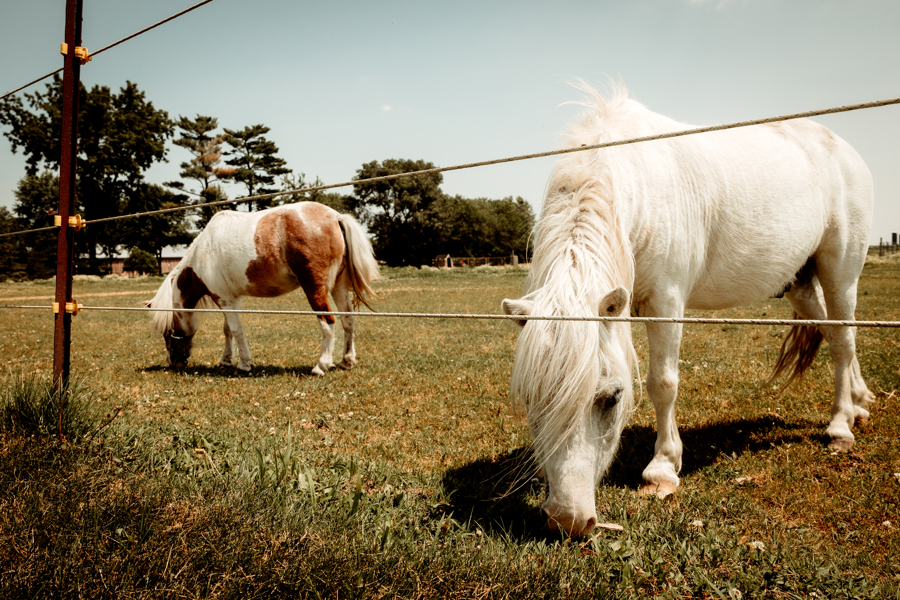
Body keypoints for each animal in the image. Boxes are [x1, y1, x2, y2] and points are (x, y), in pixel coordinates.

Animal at [146, 204, 378, 378]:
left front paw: (244, 364)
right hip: (339, 286)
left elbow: (237, 330)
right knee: (348, 319)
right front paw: (226, 360)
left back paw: (321, 366)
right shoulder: (230, 300)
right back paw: (347, 360)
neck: (203, 254)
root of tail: (335, 217)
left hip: (315, 289)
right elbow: (227, 330)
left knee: (328, 321)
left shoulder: (225, 300)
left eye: (168, 331)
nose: (173, 362)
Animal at [500, 83, 872, 536]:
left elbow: (663, 384)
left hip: (841, 273)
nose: (568, 521)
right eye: (529, 399)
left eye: (612, 397)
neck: (636, 179)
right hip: (799, 282)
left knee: (843, 342)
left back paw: (840, 426)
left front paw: (662, 470)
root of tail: (844, 148)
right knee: (837, 335)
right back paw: (859, 403)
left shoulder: (666, 301)